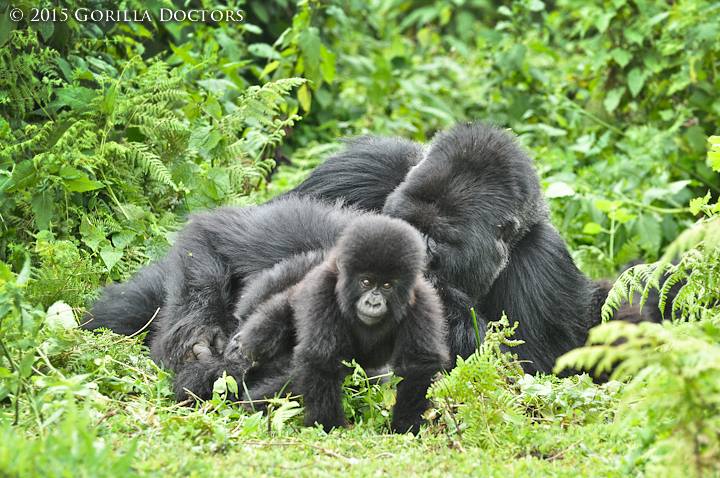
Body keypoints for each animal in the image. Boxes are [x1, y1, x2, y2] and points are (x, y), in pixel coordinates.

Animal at [228, 215, 448, 432]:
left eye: (387, 285)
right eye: (366, 282)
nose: (373, 302)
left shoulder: (422, 301)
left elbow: (417, 365)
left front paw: (407, 424)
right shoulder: (322, 289)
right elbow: (321, 359)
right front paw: (327, 424)